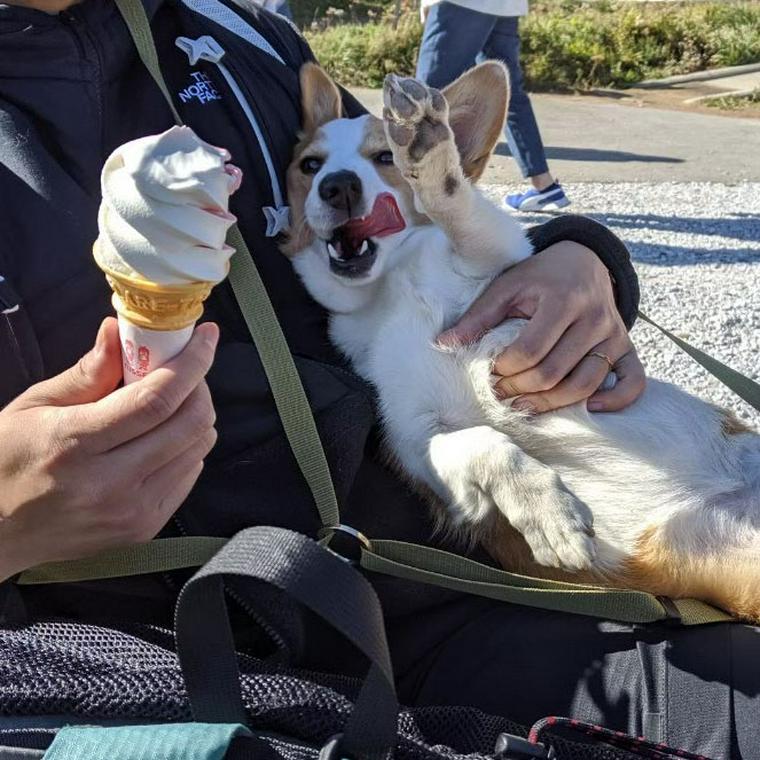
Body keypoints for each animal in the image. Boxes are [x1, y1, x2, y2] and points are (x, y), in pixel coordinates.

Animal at [280, 58, 760, 616]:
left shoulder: (495, 256)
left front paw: (425, 146)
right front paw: (546, 510)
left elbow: (458, 210)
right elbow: (480, 443)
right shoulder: (417, 441)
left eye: (382, 157)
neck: (389, 294)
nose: (337, 185)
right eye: (309, 166)